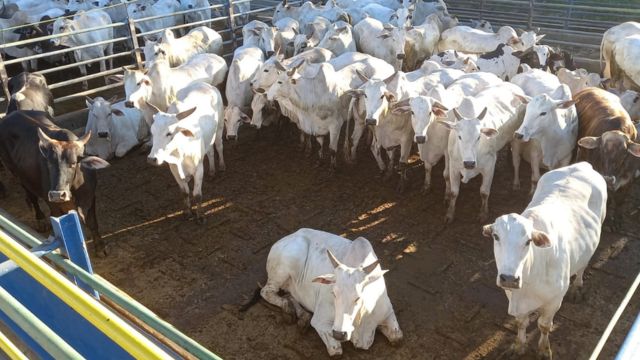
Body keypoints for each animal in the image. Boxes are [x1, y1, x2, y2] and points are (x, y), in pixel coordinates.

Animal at [0, 111, 110, 255]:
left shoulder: (90, 197)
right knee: (32, 197)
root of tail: (10, 115)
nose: (57, 195)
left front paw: (100, 247)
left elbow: (92, 222)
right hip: (18, 174)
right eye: (49, 163)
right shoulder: (53, 204)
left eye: (73, 163)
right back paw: (40, 220)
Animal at [147, 82, 225, 222]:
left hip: (219, 127)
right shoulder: (174, 170)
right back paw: (212, 170)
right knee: (210, 151)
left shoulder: (198, 169)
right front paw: (187, 212)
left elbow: (197, 195)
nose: (152, 159)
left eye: (169, 133)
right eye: (152, 131)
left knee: (219, 146)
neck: (180, 154)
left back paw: (221, 165)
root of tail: (206, 85)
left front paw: (200, 216)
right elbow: (184, 192)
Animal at [440, 82, 524, 222]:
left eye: (479, 136)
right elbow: (454, 192)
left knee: (516, 162)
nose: (469, 163)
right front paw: (449, 214)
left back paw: (516, 183)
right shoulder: (453, 166)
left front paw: (483, 213)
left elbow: (484, 192)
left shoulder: (490, 166)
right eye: (459, 136)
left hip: (516, 138)